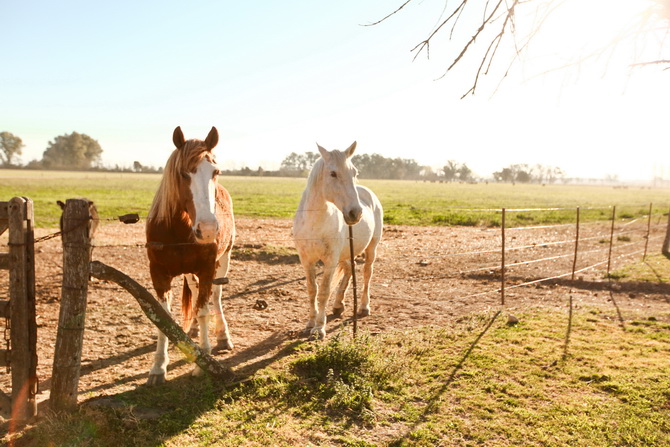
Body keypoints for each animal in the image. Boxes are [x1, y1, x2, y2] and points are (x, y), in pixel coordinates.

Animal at [146, 125, 235, 384]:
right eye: (183, 173)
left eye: (216, 171)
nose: (207, 229)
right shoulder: (158, 274)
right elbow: (163, 318)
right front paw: (158, 367)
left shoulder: (206, 269)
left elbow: (205, 309)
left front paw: (203, 361)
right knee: (194, 294)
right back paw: (193, 328)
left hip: (223, 261)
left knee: (215, 297)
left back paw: (222, 336)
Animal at [292, 143, 384, 340]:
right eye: (333, 173)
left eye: (355, 172)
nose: (355, 213)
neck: (315, 222)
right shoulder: (306, 260)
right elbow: (312, 290)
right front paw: (309, 323)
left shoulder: (330, 261)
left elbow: (324, 291)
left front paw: (319, 328)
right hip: (346, 253)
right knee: (350, 269)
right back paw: (338, 305)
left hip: (371, 248)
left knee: (367, 273)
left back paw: (364, 307)